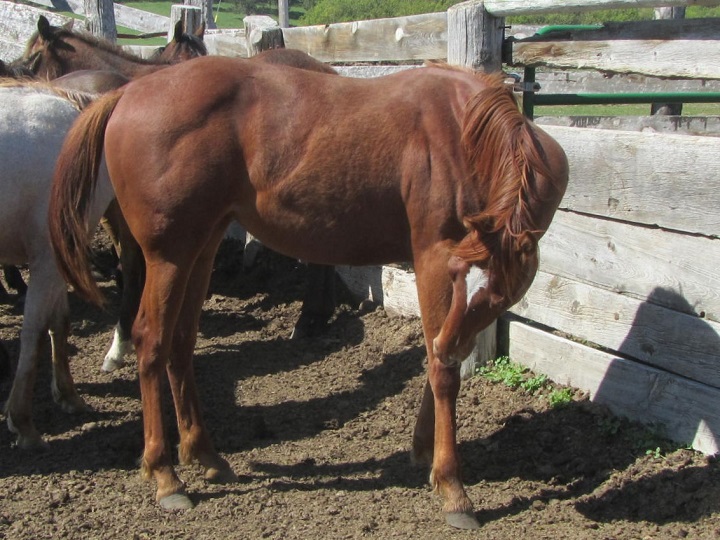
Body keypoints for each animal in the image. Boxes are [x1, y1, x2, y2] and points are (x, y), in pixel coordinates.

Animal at [50, 57, 568, 528]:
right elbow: (443, 369)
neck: (462, 133)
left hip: (201, 247)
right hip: (168, 257)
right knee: (151, 342)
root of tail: (128, 93)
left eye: (494, 296)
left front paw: (425, 450)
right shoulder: (435, 258)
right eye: (463, 277)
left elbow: (439, 357)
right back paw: (164, 474)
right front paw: (452, 485)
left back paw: (205, 454)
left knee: (180, 344)